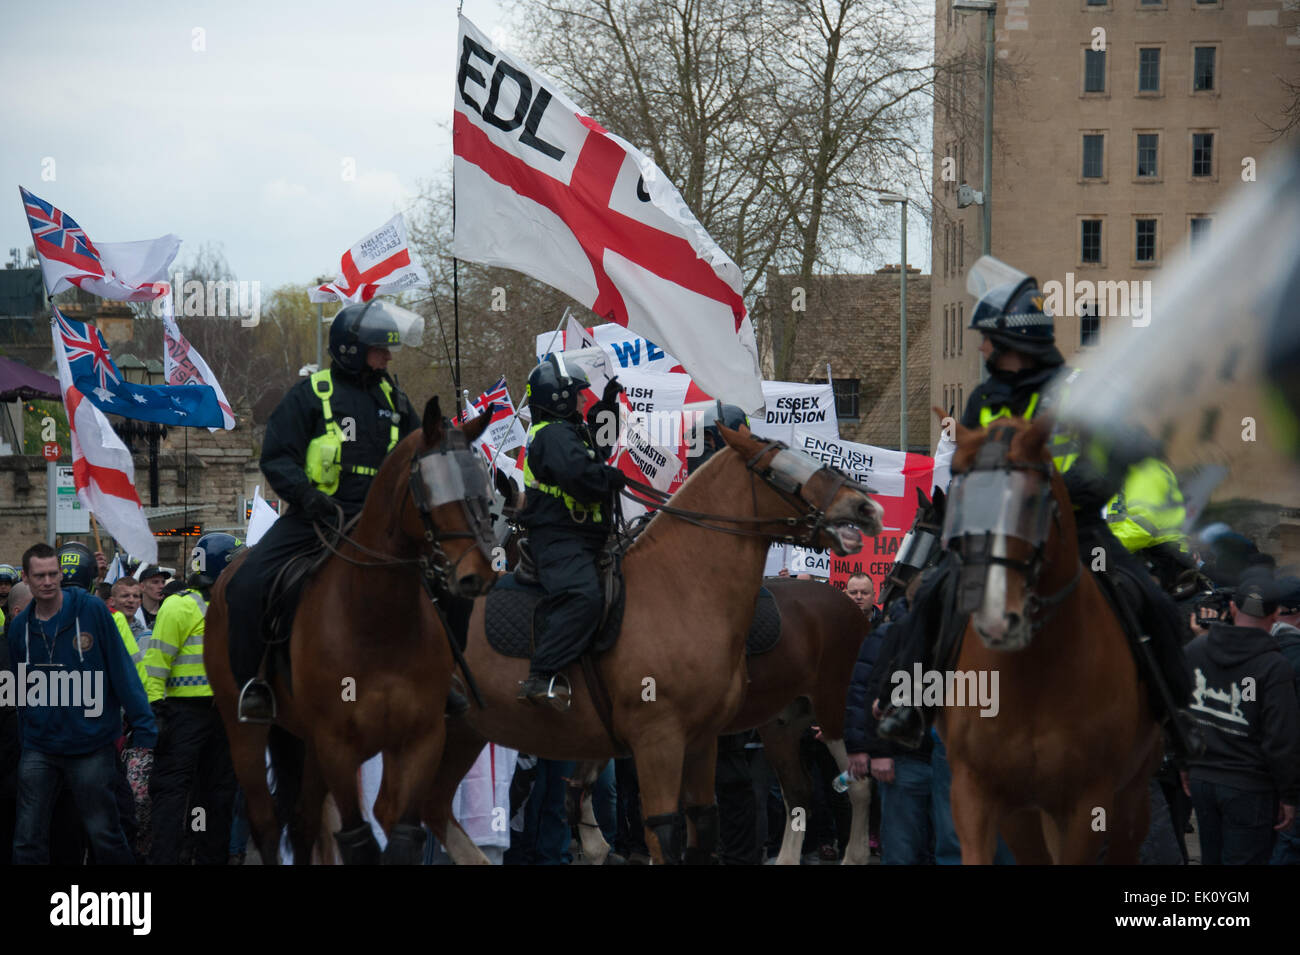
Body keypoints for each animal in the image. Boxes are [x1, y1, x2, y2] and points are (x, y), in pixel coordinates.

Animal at [205, 397, 493, 867]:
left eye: (483, 485)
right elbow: (358, 840)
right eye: (431, 488)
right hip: (244, 731)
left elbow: (403, 836)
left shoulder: (420, 741)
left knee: (303, 823)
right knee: (266, 823)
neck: (378, 620)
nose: (477, 575)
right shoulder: (337, 747)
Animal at [418, 426, 883, 867]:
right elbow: (601, 801)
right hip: (787, 722)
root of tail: (852, 606)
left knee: (853, 785)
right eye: (778, 470)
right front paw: (598, 846)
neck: (679, 586)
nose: (866, 508)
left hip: (829, 707)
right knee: (806, 793)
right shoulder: (645, 736)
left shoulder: (678, 739)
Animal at [935, 418, 1159, 867]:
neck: (1033, 673)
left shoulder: (1088, 803)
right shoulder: (977, 792)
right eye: (960, 503)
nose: (996, 619)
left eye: (1029, 503)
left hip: (1132, 792)